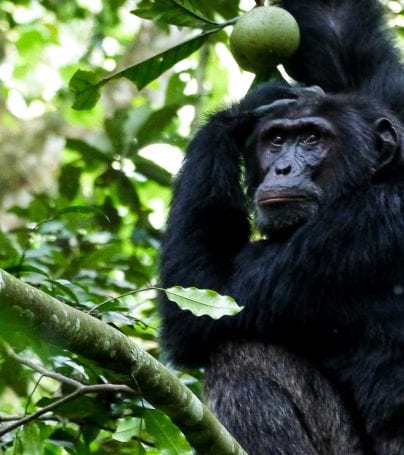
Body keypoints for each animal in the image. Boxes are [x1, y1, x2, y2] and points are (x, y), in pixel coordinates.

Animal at [159, 0, 404, 455]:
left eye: (311, 138)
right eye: (275, 140)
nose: (283, 168)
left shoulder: (350, 236)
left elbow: (205, 294)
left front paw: (238, 113)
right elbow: (340, 30)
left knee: (244, 354)